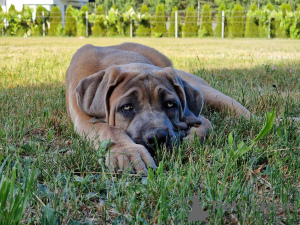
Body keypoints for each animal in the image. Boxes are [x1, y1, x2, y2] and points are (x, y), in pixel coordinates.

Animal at [66, 43, 251, 175]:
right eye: (127, 107)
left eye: (170, 104)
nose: (157, 138)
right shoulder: (84, 118)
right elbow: (109, 130)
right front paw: (128, 153)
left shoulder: (192, 115)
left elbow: (206, 124)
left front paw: (191, 138)